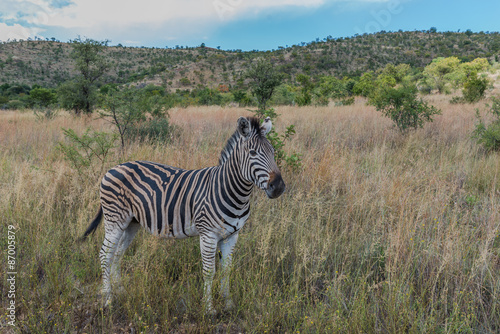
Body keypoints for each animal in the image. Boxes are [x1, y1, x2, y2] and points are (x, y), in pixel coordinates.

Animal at [82, 116, 286, 314]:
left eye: (273, 152)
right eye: (253, 153)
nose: (278, 187)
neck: (231, 191)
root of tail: (113, 168)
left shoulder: (232, 235)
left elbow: (227, 270)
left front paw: (228, 303)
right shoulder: (208, 234)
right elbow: (209, 271)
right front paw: (208, 308)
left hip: (131, 223)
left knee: (117, 254)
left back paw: (120, 291)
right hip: (114, 220)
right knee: (105, 254)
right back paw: (108, 299)